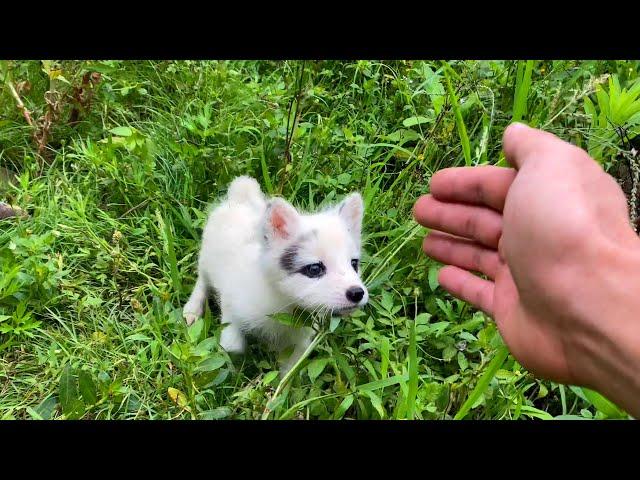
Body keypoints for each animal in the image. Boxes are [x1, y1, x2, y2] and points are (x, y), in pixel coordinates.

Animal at [182, 177, 368, 376]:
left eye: (354, 264)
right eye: (315, 269)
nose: (357, 293)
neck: (284, 303)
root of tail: (240, 199)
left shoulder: (301, 338)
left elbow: (290, 368)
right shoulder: (232, 301)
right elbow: (232, 345)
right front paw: (233, 366)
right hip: (207, 259)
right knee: (202, 280)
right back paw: (192, 309)